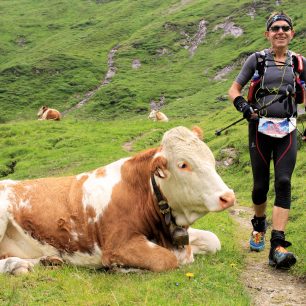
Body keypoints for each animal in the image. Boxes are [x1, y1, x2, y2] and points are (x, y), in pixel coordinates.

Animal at [0, 125, 234, 274]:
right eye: (183, 164)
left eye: (210, 156)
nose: (228, 197)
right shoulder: (117, 245)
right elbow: (167, 259)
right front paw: (123, 268)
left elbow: (213, 240)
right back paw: (16, 267)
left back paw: (46, 261)